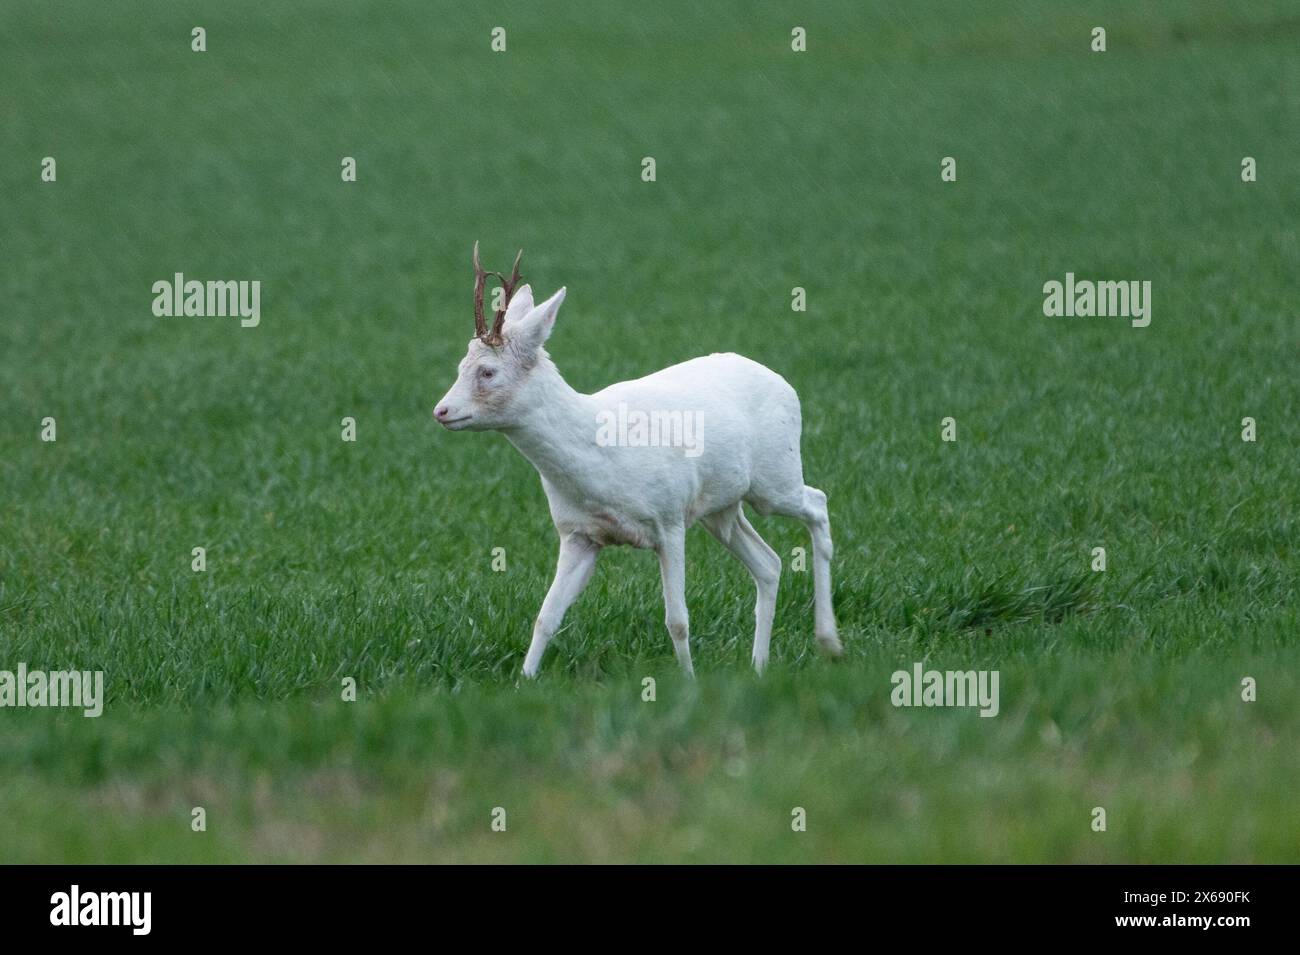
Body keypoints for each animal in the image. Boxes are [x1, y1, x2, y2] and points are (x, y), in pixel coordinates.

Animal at [434, 246, 842, 680]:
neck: (599, 459)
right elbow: (546, 616)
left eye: (487, 371)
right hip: (721, 508)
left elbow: (677, 619)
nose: (441, 410)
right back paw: (759, 665)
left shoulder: (670, 519)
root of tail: (784, 383)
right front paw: (524, 682)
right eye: (460, 366)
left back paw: (829, 643)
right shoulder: (578, 533)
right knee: (769, 563)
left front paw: (689, 681)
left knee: (817, 503)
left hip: (775, 477)